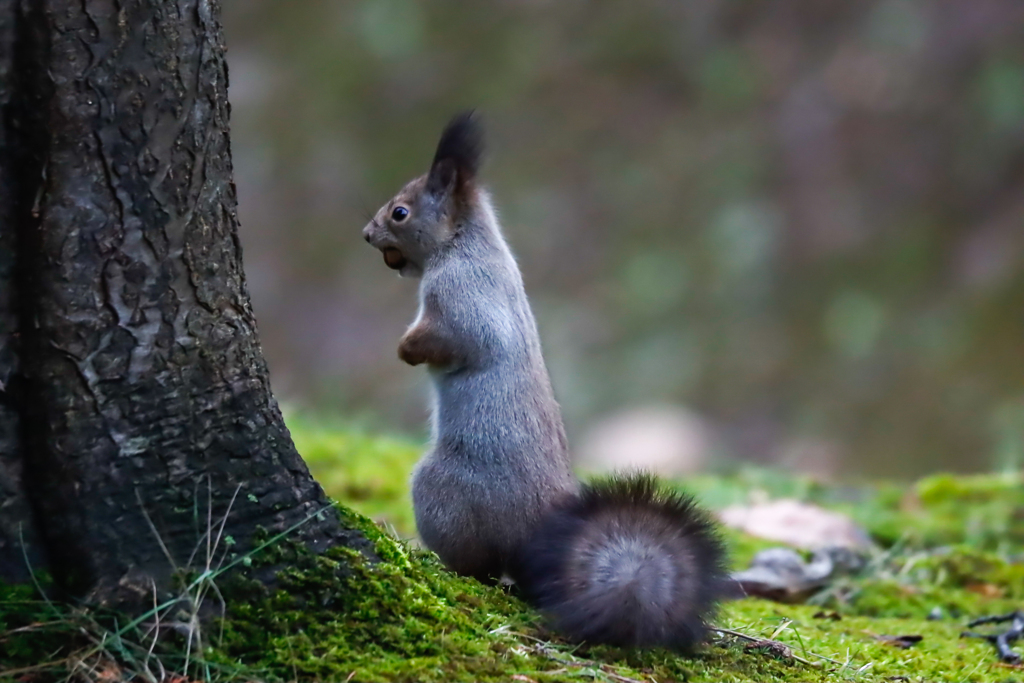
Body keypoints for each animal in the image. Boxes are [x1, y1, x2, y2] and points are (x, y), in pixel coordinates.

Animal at [362, 113, 729, 651]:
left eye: (400, 212)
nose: (366, 234)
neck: (466, 242)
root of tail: (541, 540)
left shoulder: (462, 294)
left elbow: (457, 338)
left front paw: (405, 351)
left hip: (442, 491)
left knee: (481, 568)